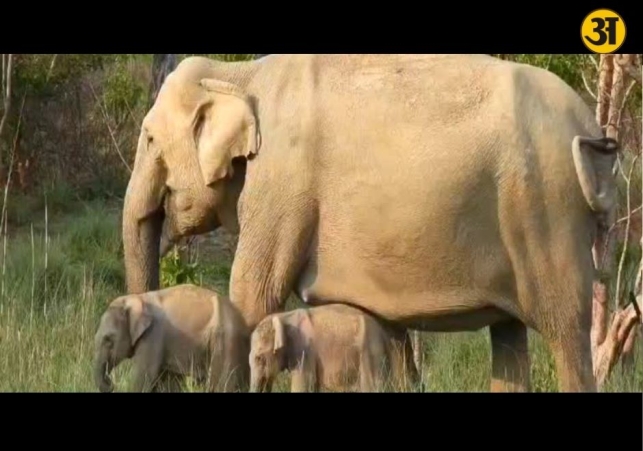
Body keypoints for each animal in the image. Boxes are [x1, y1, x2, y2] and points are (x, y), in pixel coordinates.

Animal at [93, 284, 250, 393]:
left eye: (108, 339)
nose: (111, 384)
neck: (137, 298)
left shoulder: (153, 335)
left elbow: (143, 377)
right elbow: (168, 381)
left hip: (227, 340)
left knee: (222, 383)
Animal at [249, 304, 419, 392]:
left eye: (259, 358)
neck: (283, 316)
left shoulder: (303, 351)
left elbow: (303, 386)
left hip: (371, 351)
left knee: (372, 385)